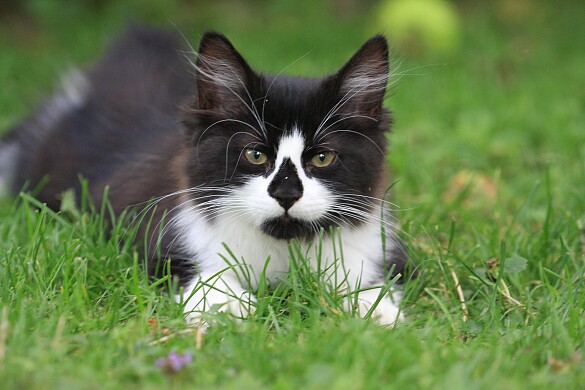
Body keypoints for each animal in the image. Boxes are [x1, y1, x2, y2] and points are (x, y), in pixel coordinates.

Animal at [0, 25, 408, 326]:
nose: (287, 194)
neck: (283, 246)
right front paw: (230, 304)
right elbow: (192, 271)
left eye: (322, 157)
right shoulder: (159, 235)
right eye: (255, 154)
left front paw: (373, 307)